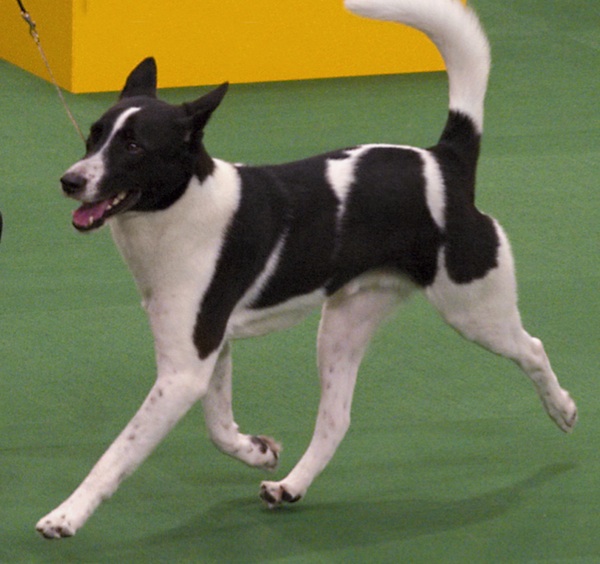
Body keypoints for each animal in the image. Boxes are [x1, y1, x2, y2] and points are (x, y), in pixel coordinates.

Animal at [36, 0, 576, 536]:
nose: (69, 180)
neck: (180, 207)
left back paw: (563, 408)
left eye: (133, 147)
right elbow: (218, 427)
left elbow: (118, 454)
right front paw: (257, 451)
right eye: (94, 137)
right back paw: (290, 486)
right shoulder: (210, 351)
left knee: (532, 348)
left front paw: (67, 514)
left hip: (473, 307)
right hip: (343, 325)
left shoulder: (184, 369)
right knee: (337, 419)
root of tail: (444, 163)